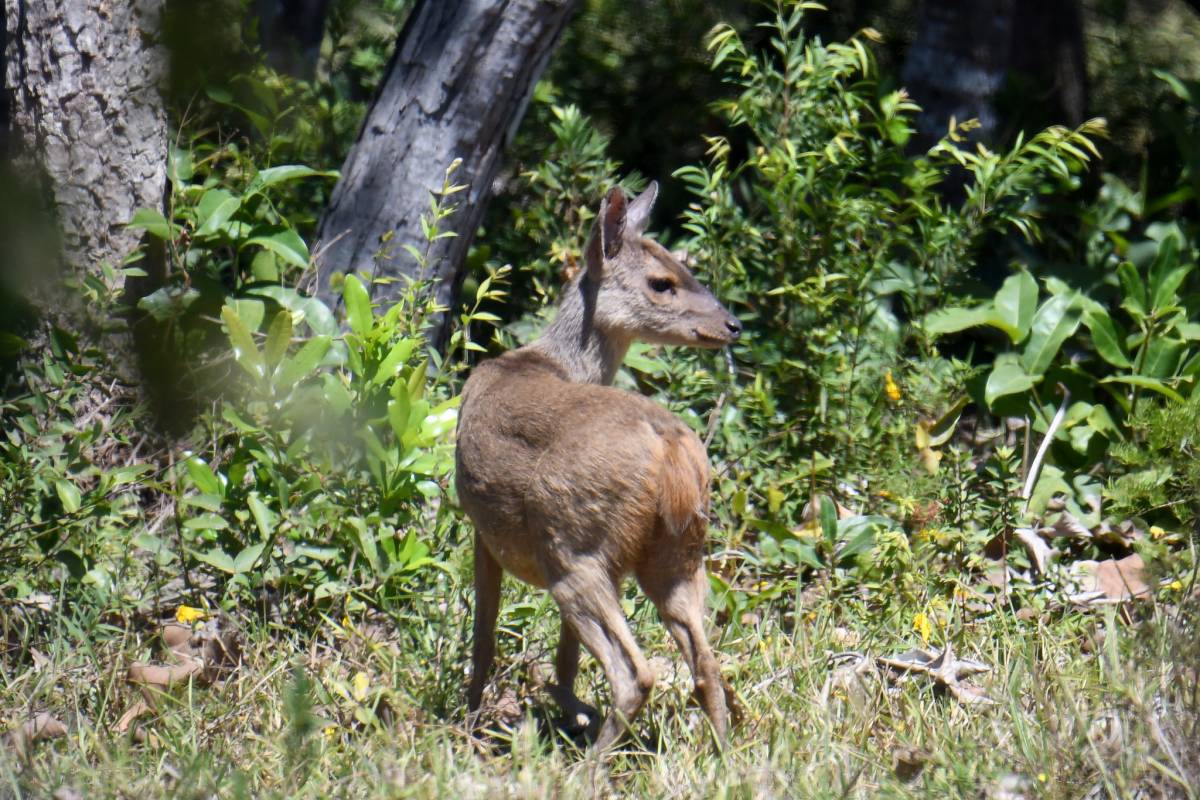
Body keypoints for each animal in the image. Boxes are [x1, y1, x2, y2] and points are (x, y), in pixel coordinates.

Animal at [456, 181, 744, 753]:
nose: (733, 325)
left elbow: (484, 632)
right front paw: (561, 708)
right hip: (677, 552)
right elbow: (564, 657)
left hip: (571, 548)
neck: (557, 362)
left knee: (635, 673)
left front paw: (472, 722)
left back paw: (590, 758)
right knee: (706, 665)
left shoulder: (482, 526)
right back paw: (723, 756)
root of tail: (671, 452)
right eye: (663, 281)